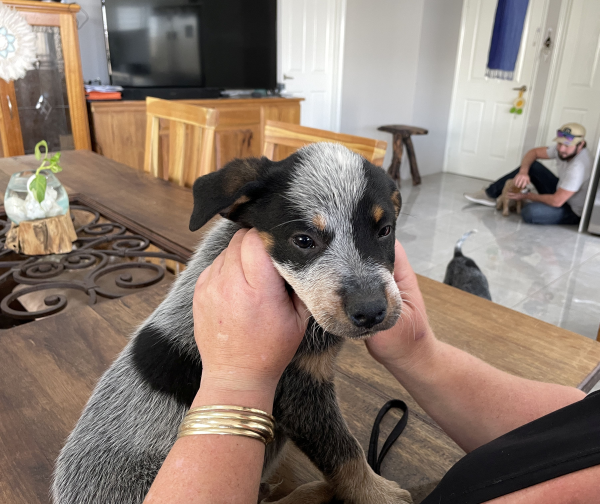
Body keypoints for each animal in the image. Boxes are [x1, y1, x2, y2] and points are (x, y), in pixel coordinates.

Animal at [52, 143, 412, 504]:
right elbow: (343, 451)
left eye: (384, 231)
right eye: (303, 240)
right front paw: (377, 492)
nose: (371, 312)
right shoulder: (299, 392)